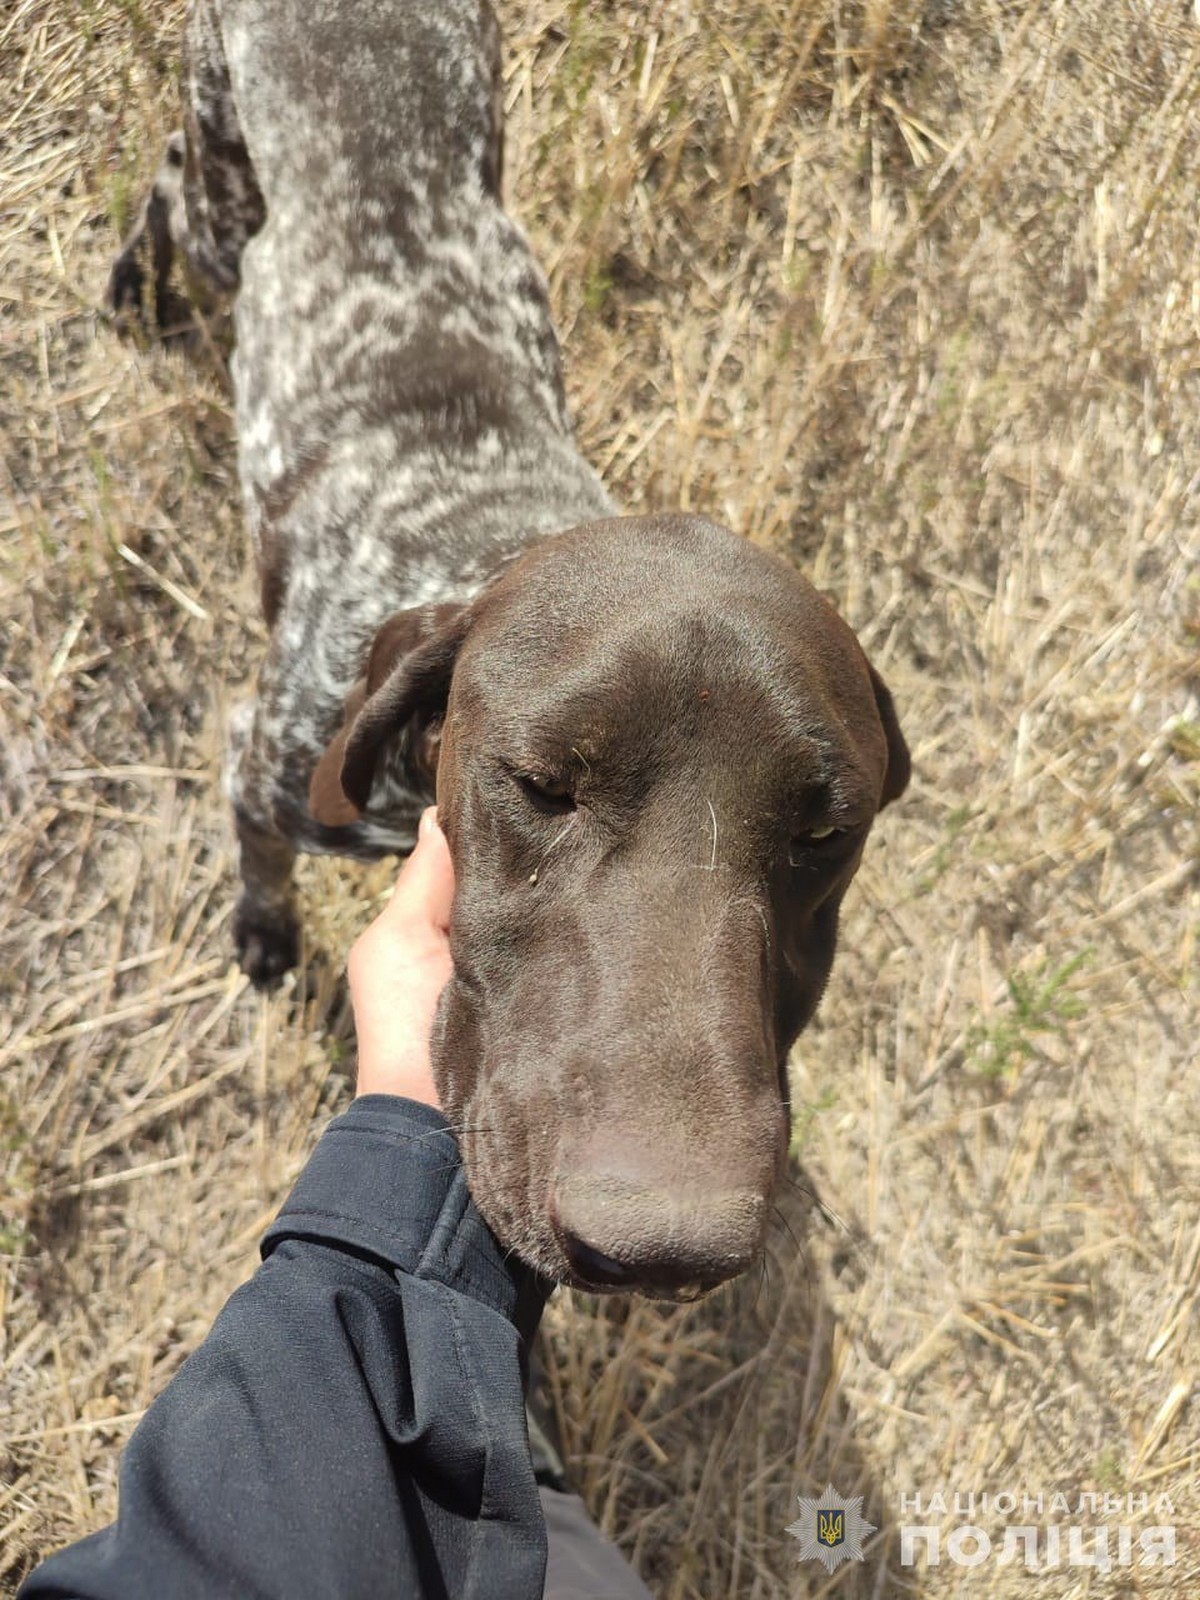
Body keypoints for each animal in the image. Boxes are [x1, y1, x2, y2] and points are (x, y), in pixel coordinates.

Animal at [117, 0, 915, 1299]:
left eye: (826, 833)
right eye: (541, 784)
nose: (665, 1248)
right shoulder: (262, 763)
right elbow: (262, 862)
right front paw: (264, 934)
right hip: (223, 192)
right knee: (174, 180)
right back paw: (132, 288)